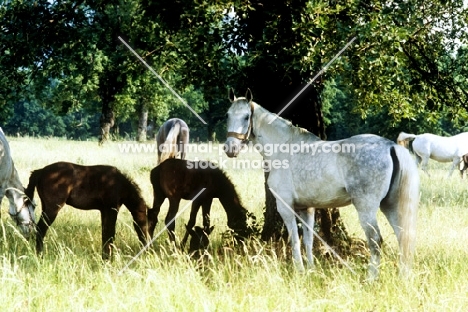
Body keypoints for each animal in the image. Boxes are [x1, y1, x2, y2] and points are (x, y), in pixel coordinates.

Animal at [224, 89, 420, 280]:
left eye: (246, 117)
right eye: (228, 115)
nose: (230, 149)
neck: (283, 148)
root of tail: (390, 146)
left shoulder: (285, 206)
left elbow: (295, 240)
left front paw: (299, 271)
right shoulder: (307, 208)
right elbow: (308, 240)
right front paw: (311, 270)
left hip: (366, 208)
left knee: (376, 241)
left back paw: (371, 279)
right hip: (390, 205)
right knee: (403, 237)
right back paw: (403, 277)